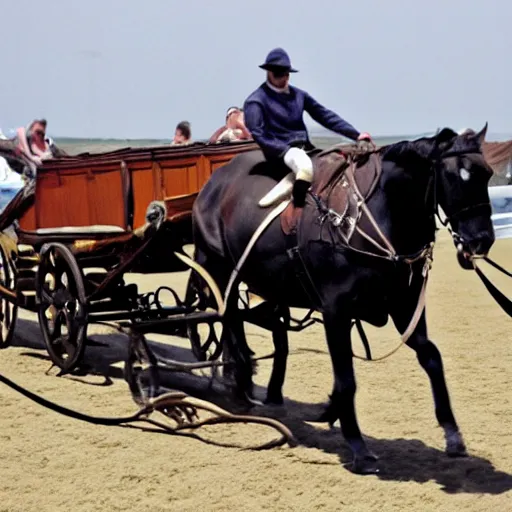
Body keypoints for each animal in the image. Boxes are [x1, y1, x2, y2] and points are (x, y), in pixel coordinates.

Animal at [189, 125, 496, 476]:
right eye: (453, 175)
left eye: (487, 173)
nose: (481, 240)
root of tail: (212, 185)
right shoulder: (335, 310)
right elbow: (347, 379)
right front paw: (358, 447)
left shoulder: (405, 305)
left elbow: (431, 357)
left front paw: (452, 434)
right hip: (219, 271)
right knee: (228, 320)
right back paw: (239, 383)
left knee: (256, 329)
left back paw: (261, 390)